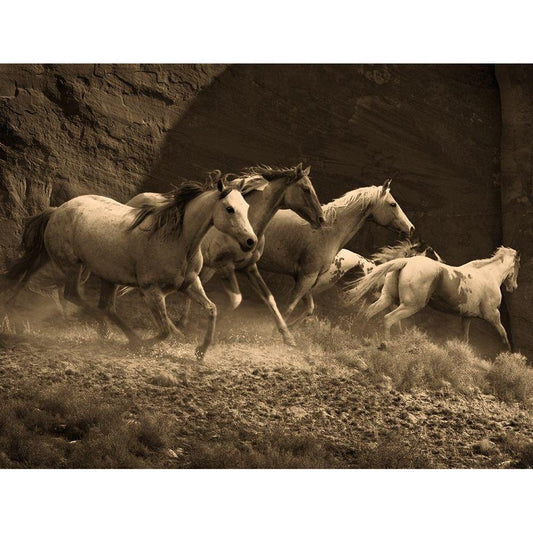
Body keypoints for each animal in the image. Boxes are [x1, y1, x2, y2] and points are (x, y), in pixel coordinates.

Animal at [5, 176, 257, 359]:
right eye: (229, 209)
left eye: (246, 206)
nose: (250, 241)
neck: (177, 240)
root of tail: (57, 210)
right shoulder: (151, 290)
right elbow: (164, 329)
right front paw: (149, 343)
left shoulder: (190, 284)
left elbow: (211, 309)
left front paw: (200, 351)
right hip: (73, 266)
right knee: (73, 295)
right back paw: (112, 332)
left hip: (104, 275)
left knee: (104, 306)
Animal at [126, 163, 324, 346]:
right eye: (306, 189)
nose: (321, 219)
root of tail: (137, 198)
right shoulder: (223, 267)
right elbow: (235, 301)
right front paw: (208, 330)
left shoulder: (249, 268)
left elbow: (270, 299)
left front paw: (287, 337)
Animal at [258, 179, 415, 326]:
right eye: (393, 204)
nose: (411, 227)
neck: (327, 231)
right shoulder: (307, 277)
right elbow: (288, 309)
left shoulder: (309, 279)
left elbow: (309, 308)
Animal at [345, 246, 520, 349]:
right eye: (518, 266)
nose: (514, 287)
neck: (488, 275)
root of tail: (407, 261)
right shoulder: (493, 315)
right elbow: (504, 336)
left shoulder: (466, 317)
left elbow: (465, 339)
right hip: (411, 305)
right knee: (388, 318)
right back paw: (385, 344)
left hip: (388, 298)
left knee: (368, 311)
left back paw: (358, 336)